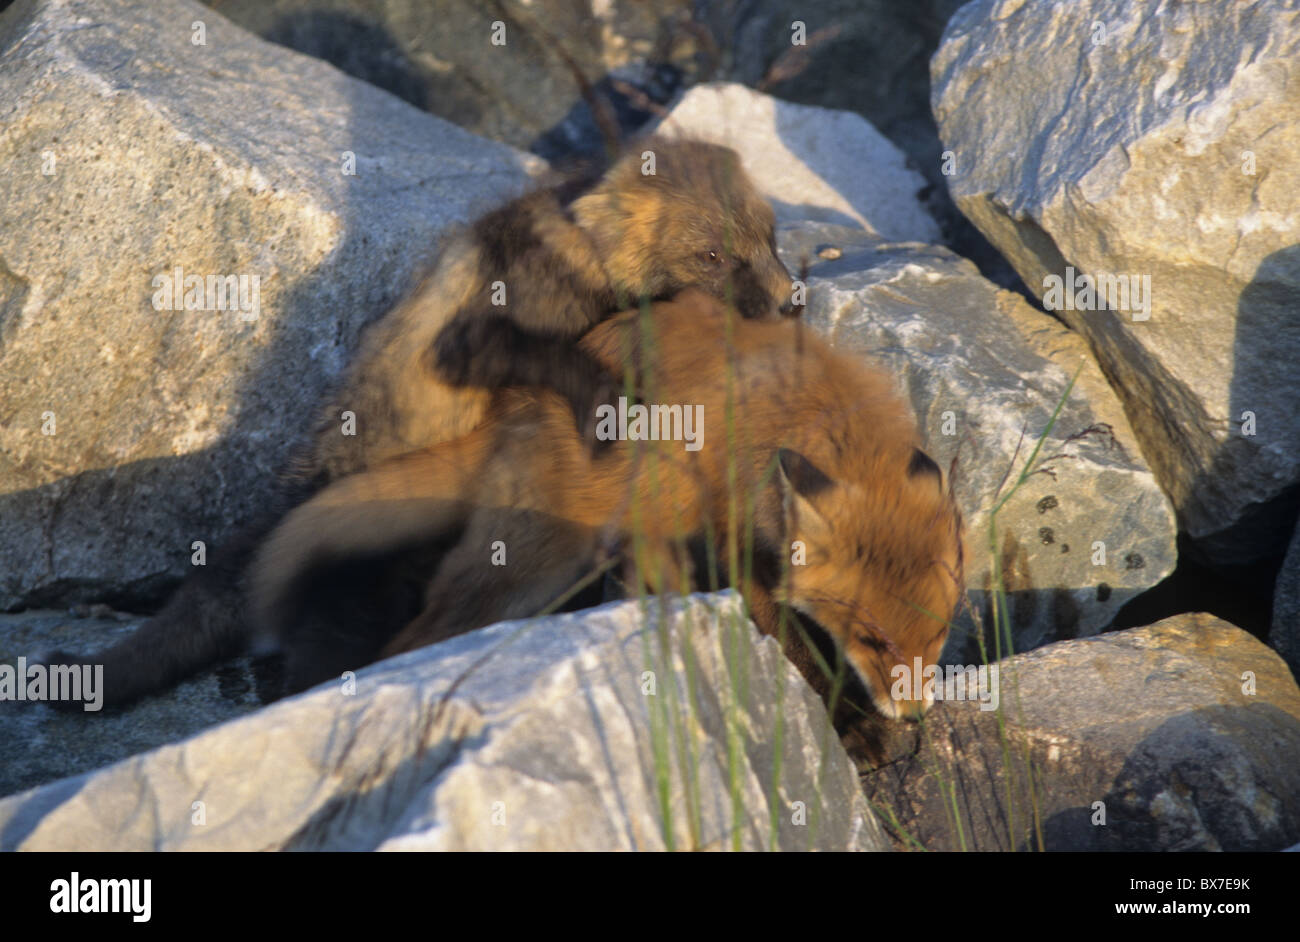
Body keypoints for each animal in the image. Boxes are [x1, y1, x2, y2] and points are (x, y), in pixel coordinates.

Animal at [39, 140, 795, 709]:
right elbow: (545, 356)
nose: (791, 301)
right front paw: (605, 402)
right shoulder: (472, 334)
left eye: (771, 238)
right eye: (713, 255)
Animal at [251, 289, 966, 719]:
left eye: (938, 636)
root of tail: (514, 407)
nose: (914, 717)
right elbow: (791, 643)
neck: (813, 418)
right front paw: (853, 728)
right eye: (872, 638)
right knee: (413, 637)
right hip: (534, 565)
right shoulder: (737, 536)